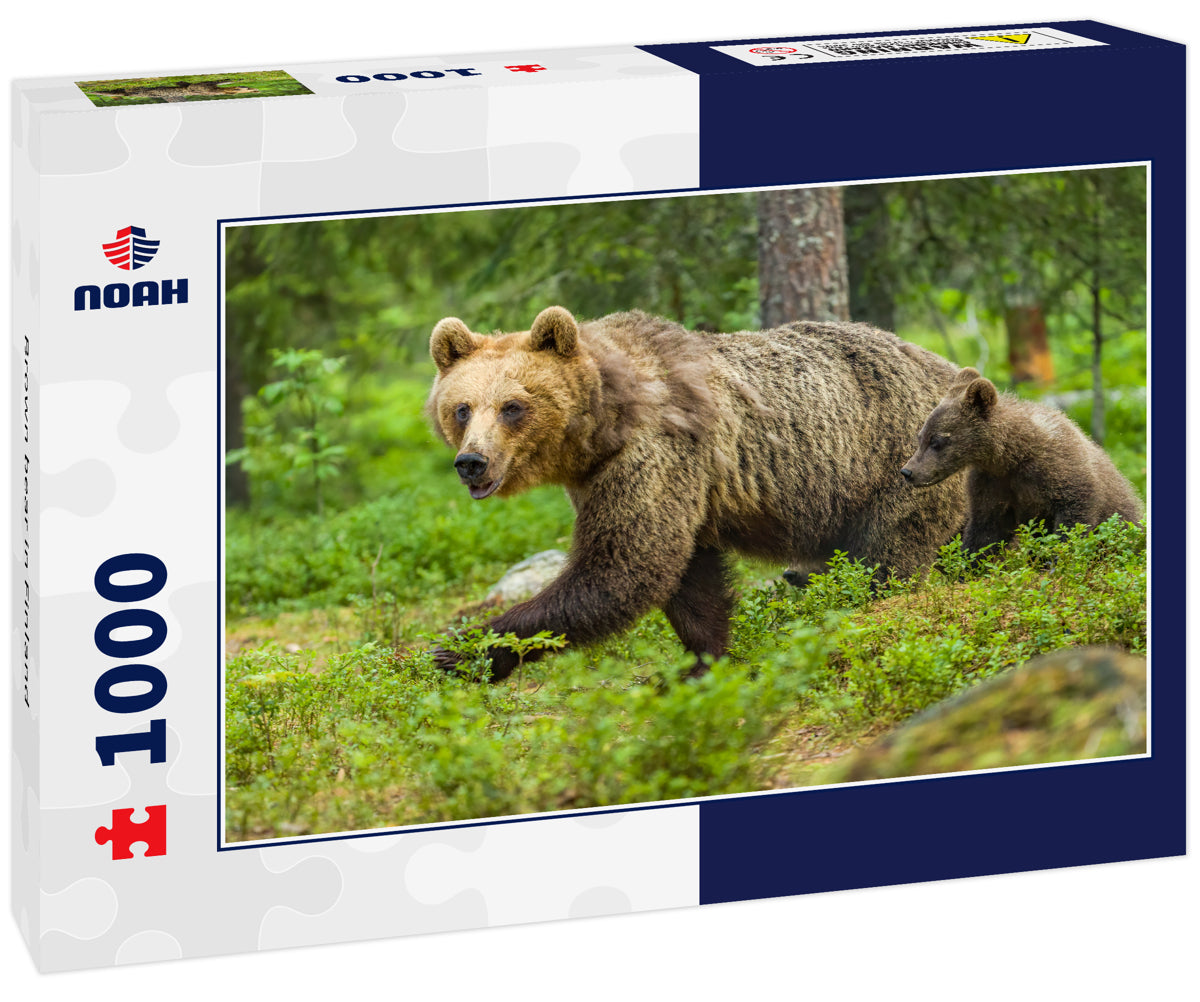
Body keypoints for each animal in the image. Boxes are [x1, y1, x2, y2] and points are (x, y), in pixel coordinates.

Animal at [427, 306, 968, 680]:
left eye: (512, 407)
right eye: (462, 408)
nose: (471, 462)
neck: (602, 429)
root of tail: (958, 371)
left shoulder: (655, 456)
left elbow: (621, 568)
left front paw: (455, 649)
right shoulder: (649, 486)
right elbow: (691, 583)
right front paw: (705, 663)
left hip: (902, 465)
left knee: (886, 557)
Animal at [900, 366, 1144, 556]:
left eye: (937, 440)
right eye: (920, 437)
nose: (907, 472)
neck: (1012, 455)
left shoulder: (1059, 469)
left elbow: (1074, 514)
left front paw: (1059, 557)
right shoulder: (992, 483)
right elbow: (986, 530)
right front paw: (967, 566)